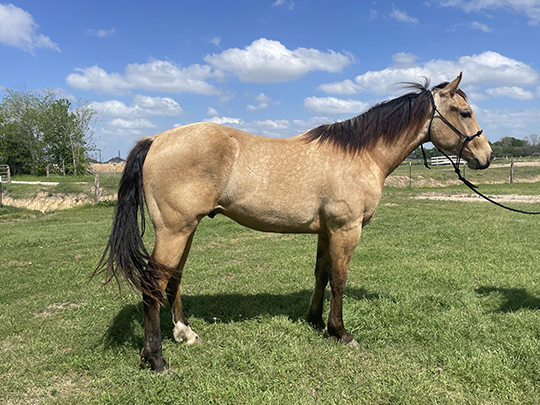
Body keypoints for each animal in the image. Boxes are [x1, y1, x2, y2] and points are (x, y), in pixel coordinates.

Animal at [94, 72, 494, 370]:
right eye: (464, 112)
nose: (486, 156)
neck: (361, 154)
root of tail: (156, 139)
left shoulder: (326, 230)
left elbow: (322, 274)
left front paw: (315, 320)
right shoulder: (346, 229)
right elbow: (340, 279)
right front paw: (340, 332)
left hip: (185, 229)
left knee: (172, 279)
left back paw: (185, 334)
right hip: (175, 229)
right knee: (153, 283)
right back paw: (156, 358)